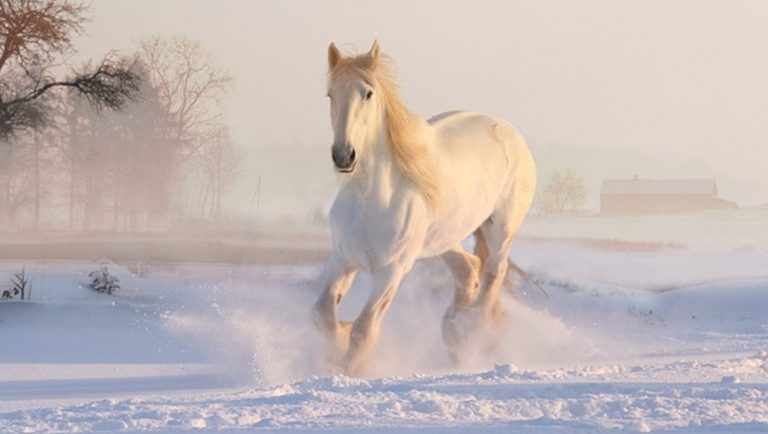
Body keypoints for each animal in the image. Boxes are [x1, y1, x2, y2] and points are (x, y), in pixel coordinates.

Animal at [314, 41, 537, 376]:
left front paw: (348, 369)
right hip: (443, 239)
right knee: (469, 268)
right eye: (330, 94)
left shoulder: (392, 271)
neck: (371, 201)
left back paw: (470, 331)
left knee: (493, 272)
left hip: (502, 229)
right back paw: (454, 331)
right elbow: (323, 314)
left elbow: (364, 329)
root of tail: (510, 131)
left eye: (368, 93)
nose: (343, 155)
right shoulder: (342, 258)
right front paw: (336, 345)